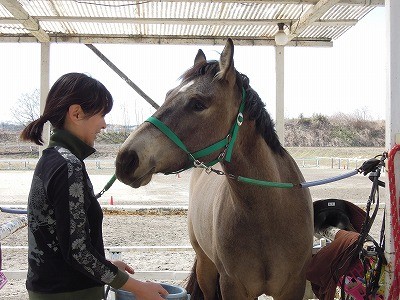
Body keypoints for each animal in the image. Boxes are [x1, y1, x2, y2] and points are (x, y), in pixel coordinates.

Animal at [114, 38, 314, 298]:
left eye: (198, 104)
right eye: (168, 95)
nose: (126, 159)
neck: (270, 214)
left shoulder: (293, 286)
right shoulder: (232, 286)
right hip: (205, 267)